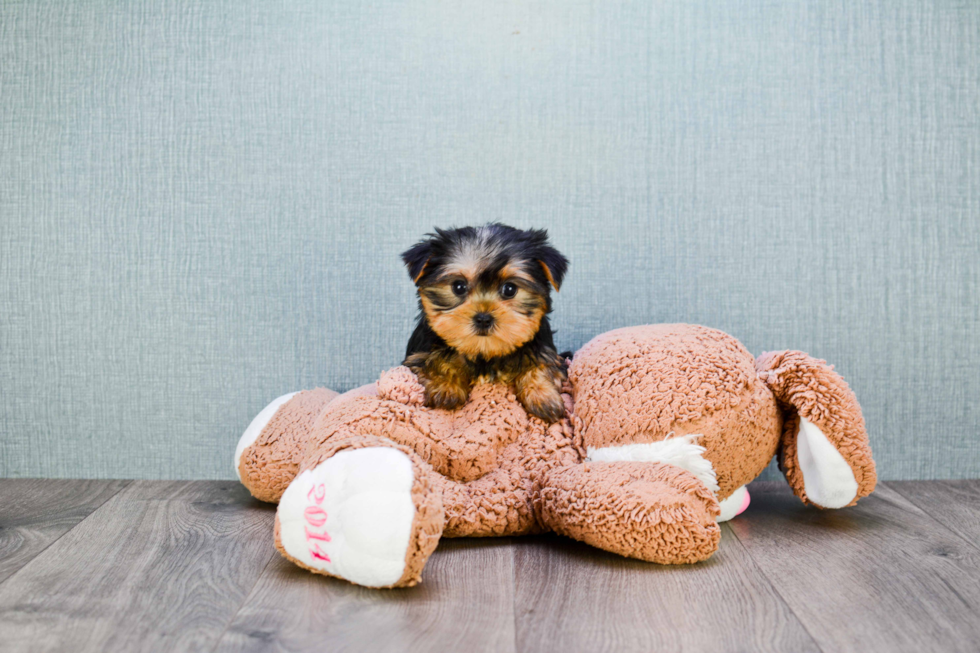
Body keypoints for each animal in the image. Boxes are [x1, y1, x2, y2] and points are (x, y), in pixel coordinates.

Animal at [402, 224, 572, 422]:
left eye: (510, 289)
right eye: (458, 286)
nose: (483, 318)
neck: (484, 352)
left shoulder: (545, 349)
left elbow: (542, 363)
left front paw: (543, 397)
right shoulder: (418, 355)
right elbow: (436, 360)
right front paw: (445, 388)